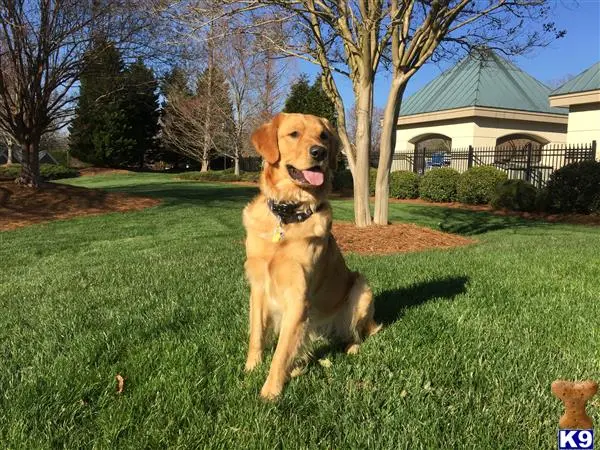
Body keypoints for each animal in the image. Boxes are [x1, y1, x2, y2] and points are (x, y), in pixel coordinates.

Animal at [243, 113, 380, 400]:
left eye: (323, 136)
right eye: (294, 134)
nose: (320, 152)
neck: (287, 215)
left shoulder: (298, 296)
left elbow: (281, 352)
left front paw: (270, 391)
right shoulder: (258, 287)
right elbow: (257, 335)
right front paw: (251, 368)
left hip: (361, 288)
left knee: (357, 332)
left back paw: (352, 347)